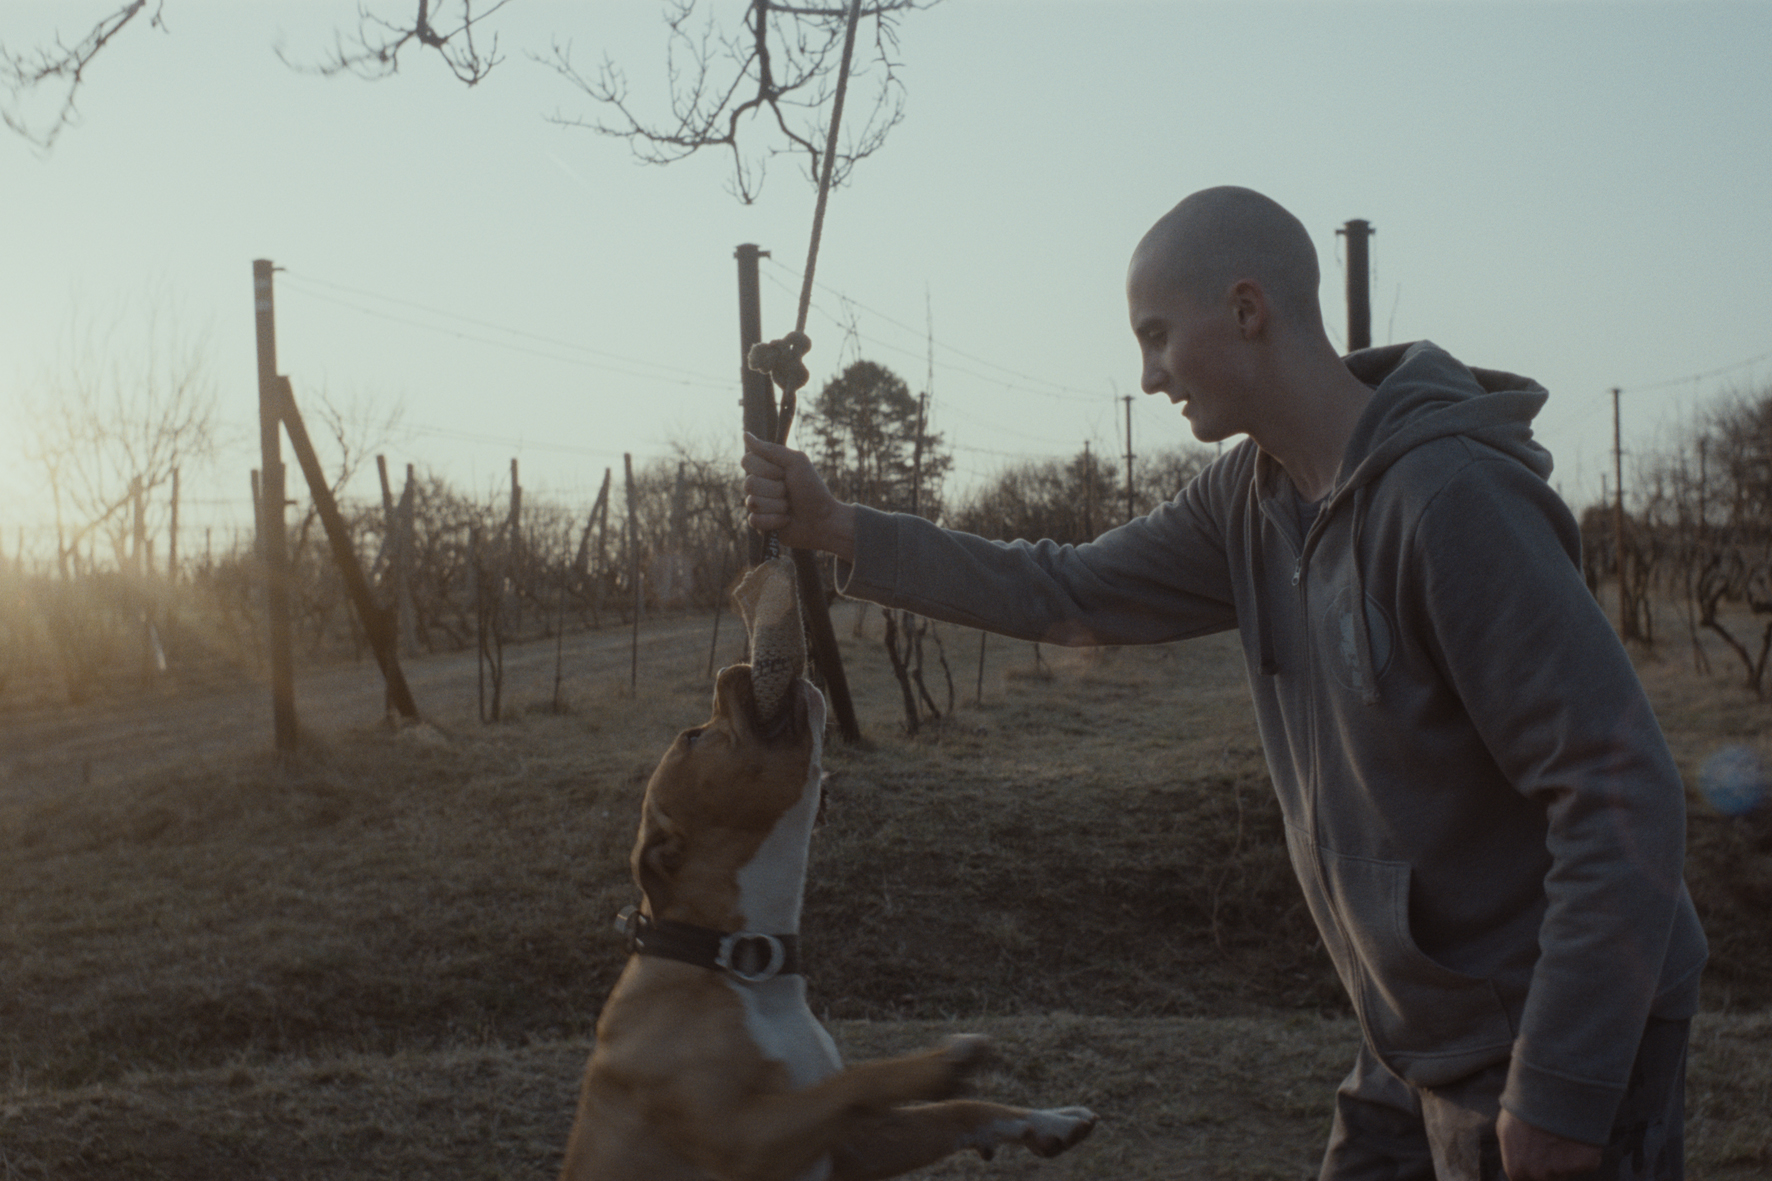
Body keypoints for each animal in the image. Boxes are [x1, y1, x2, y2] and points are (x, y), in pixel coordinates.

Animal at [559, 663, 1098, 1177]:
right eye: (693, 737)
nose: (727, 669)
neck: (738, 964)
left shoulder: (850, 1145)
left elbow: (956, 1111)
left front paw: (1047, 1120)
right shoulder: (747, 1138)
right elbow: (856, 1081)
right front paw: (938, 1064)